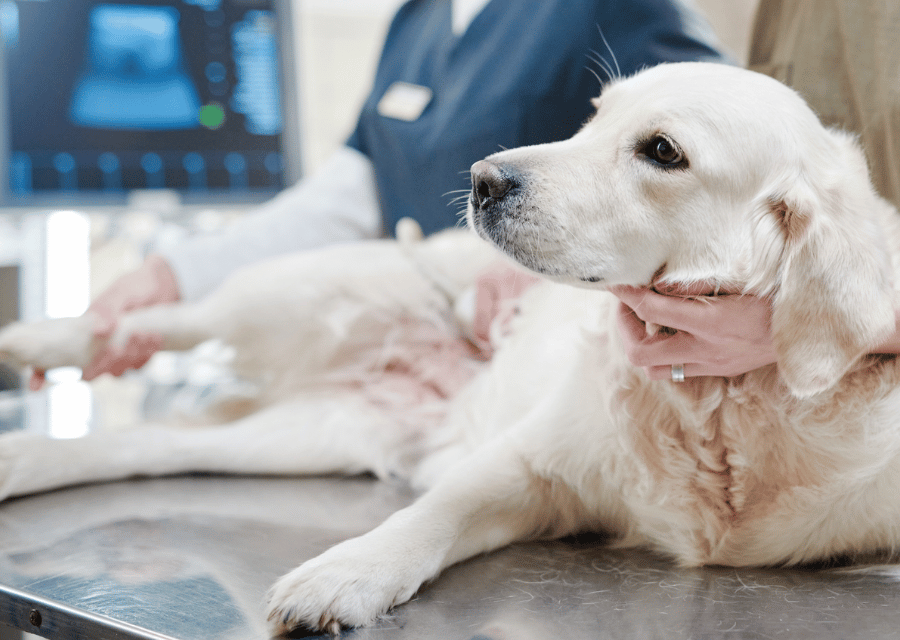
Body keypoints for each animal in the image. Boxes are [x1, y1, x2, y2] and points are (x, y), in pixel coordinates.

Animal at [1, 62, 900, 632]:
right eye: (594, 116)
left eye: (661, 151)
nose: (485, 179)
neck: (716, 406)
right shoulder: (528, 463)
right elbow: (428, 515)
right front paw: (346, 571)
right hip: (312, 285)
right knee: (175, 319)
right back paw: (43, 335)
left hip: (309, 434)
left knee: (148, 444)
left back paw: (25, 460)